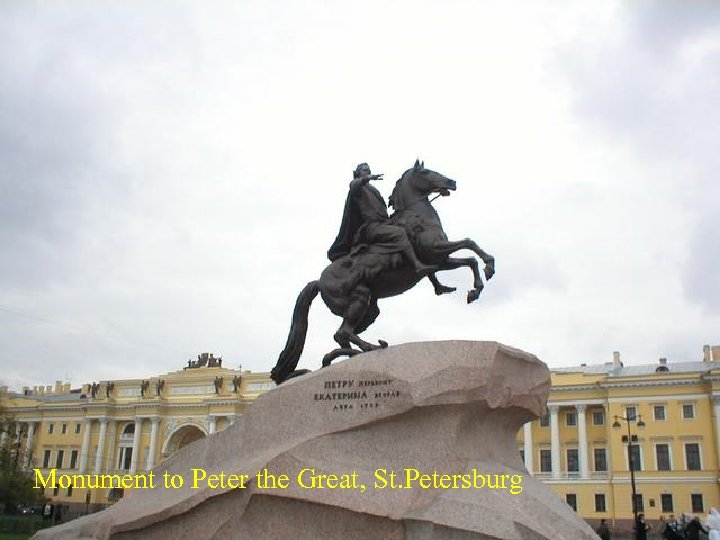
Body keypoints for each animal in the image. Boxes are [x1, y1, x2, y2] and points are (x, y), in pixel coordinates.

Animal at [270, 160, 496, 384]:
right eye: (426, 171)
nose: (452, 182)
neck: (416, 215)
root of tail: (318, 281)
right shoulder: (435, 250)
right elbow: (469, 243)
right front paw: (488, 269)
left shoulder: (441, 260)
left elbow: (469, 259)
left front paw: (475, 289)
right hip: (360, 297)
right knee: (343, 332)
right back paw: (370, 348)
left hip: (370, 310)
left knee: (343, 335)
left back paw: (344, 356)